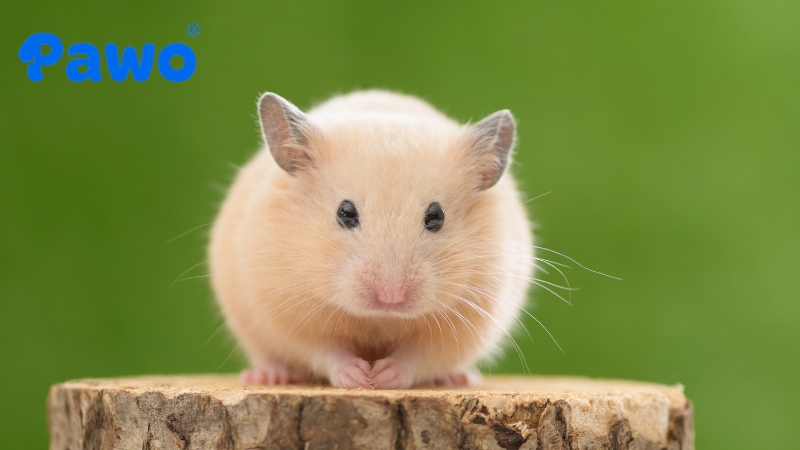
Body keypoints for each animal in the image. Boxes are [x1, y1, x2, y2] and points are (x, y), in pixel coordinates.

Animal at [209, 90, 533, 389]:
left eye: (437, 216)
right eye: (345, 212)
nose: (391, 297)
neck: (379, 319)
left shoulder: (467, 322)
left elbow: (419, 356)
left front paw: (382, 377)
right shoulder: (286, 313)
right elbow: (325, 351)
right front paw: (360, 377)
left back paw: (461, 378)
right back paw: (269, 376)